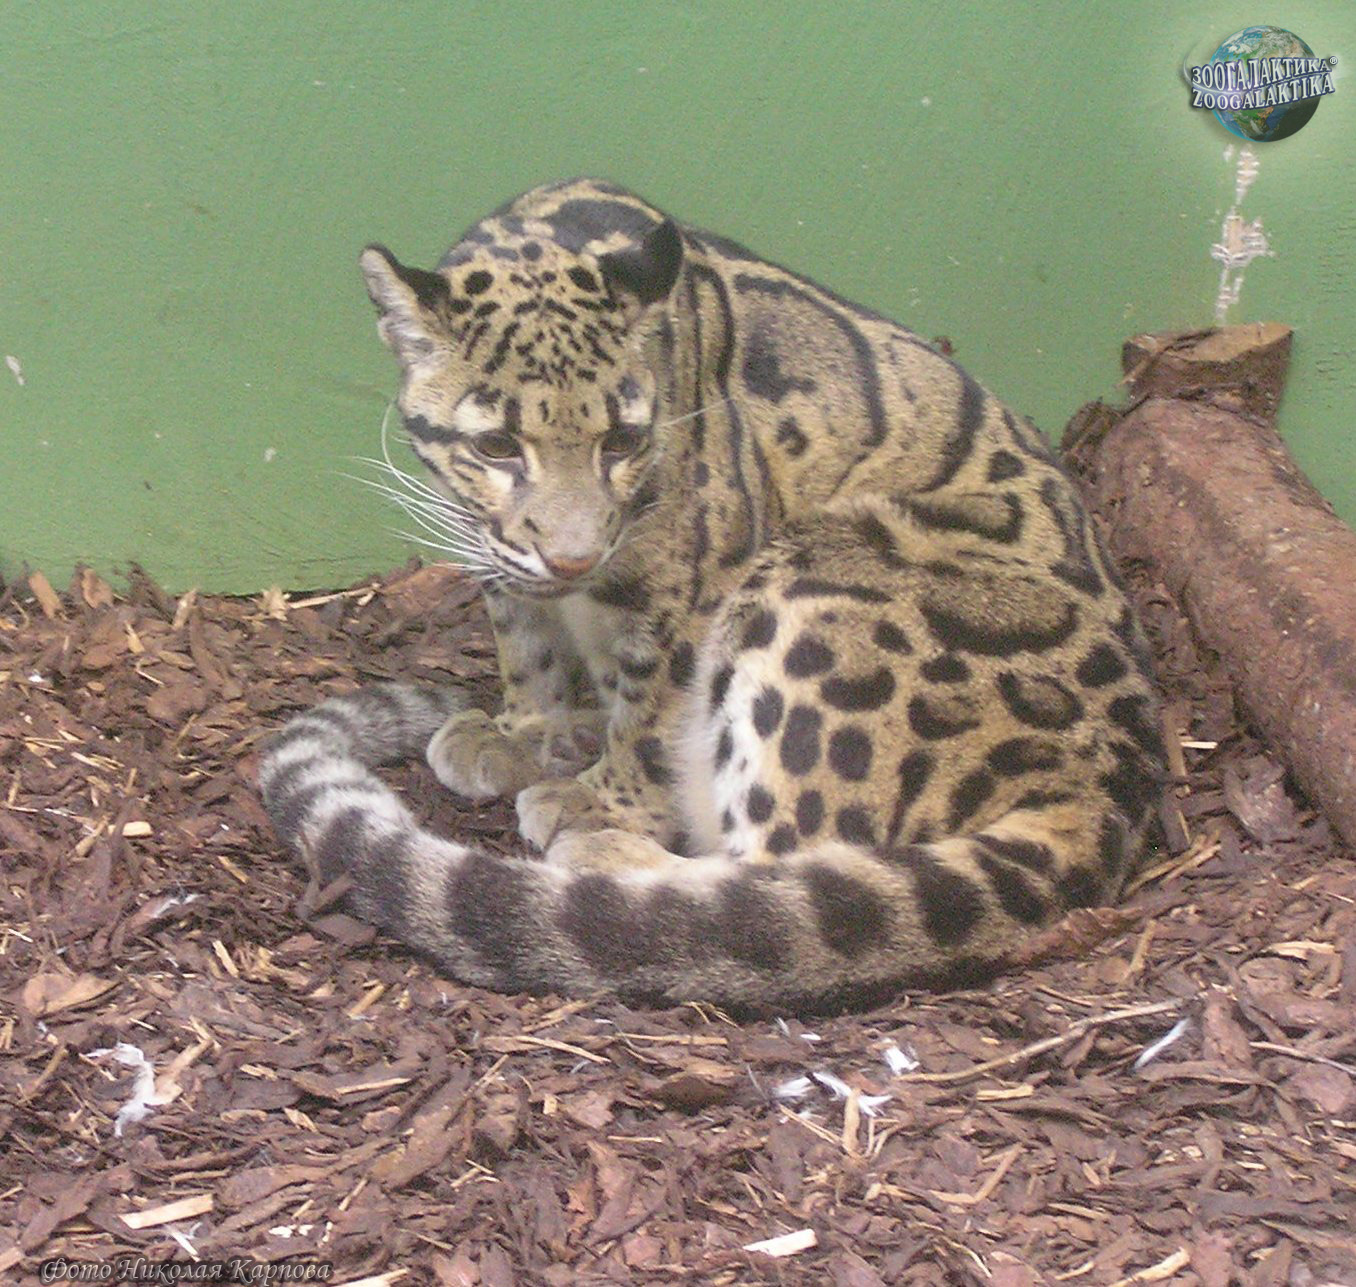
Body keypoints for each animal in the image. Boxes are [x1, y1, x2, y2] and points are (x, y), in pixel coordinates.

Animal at [258, 178, 1166, 1014]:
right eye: (496, 445)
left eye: (623, 439)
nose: (573, 556)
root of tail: (1114, 780)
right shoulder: (501, 557)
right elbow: (525, 637)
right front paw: (527, 727)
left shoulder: (696, 577)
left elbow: (653, 715)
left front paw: (601, 801)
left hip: (818, 584)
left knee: (777, 878)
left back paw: (609, 854)